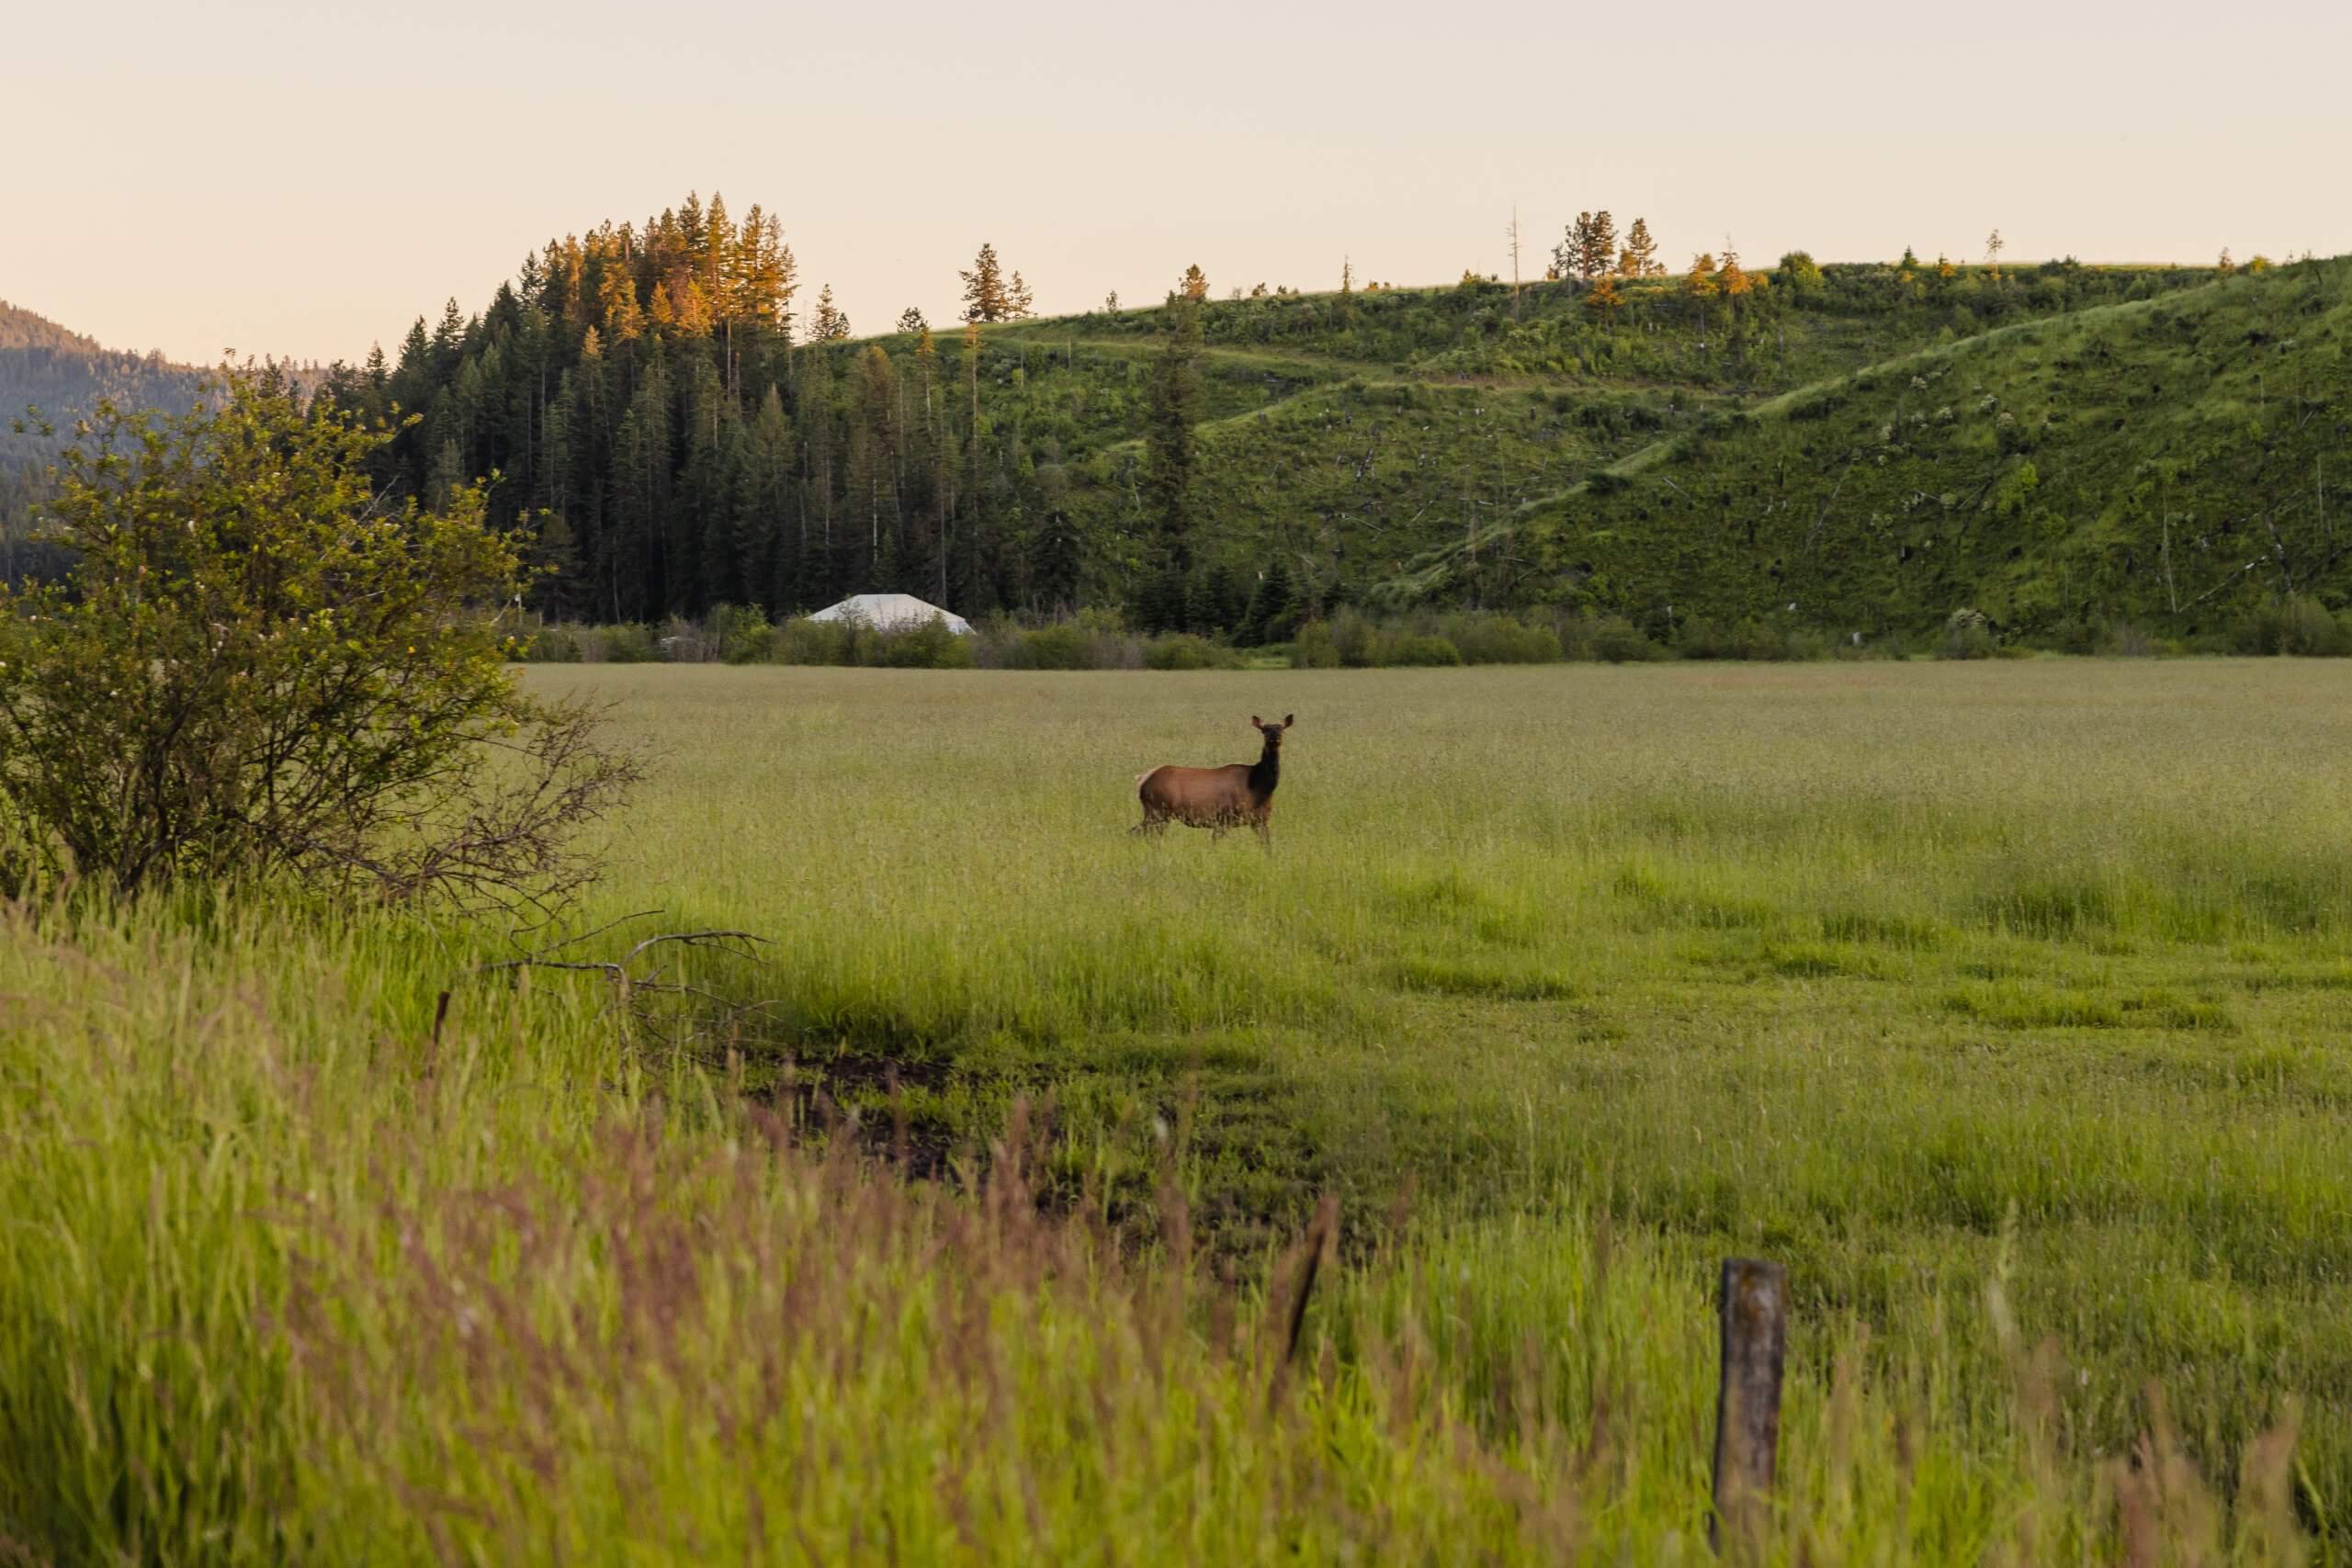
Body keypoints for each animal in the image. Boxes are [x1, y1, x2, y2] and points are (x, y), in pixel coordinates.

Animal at [1128, 719, 1298, 851]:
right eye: (1264, 730)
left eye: (1282, 729)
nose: (1274, 737)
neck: (1259, 787)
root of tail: (1143, 779)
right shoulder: (1224, 818)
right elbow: (1213, 846)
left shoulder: (1260, 820)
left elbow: (1268, 846)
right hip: (1158, 811)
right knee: (1136, 833)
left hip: (1157, 813)